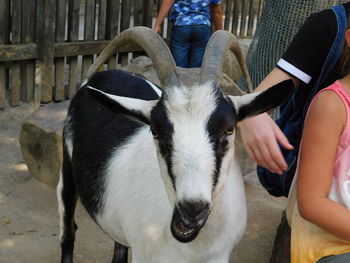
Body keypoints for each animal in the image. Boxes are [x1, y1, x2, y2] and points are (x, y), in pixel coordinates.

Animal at [56, 25, 292, 262]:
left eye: (229, 128)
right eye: (156, 131)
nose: (192, 209)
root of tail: (103, 75)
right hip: (67, 174)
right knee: (68, 231)